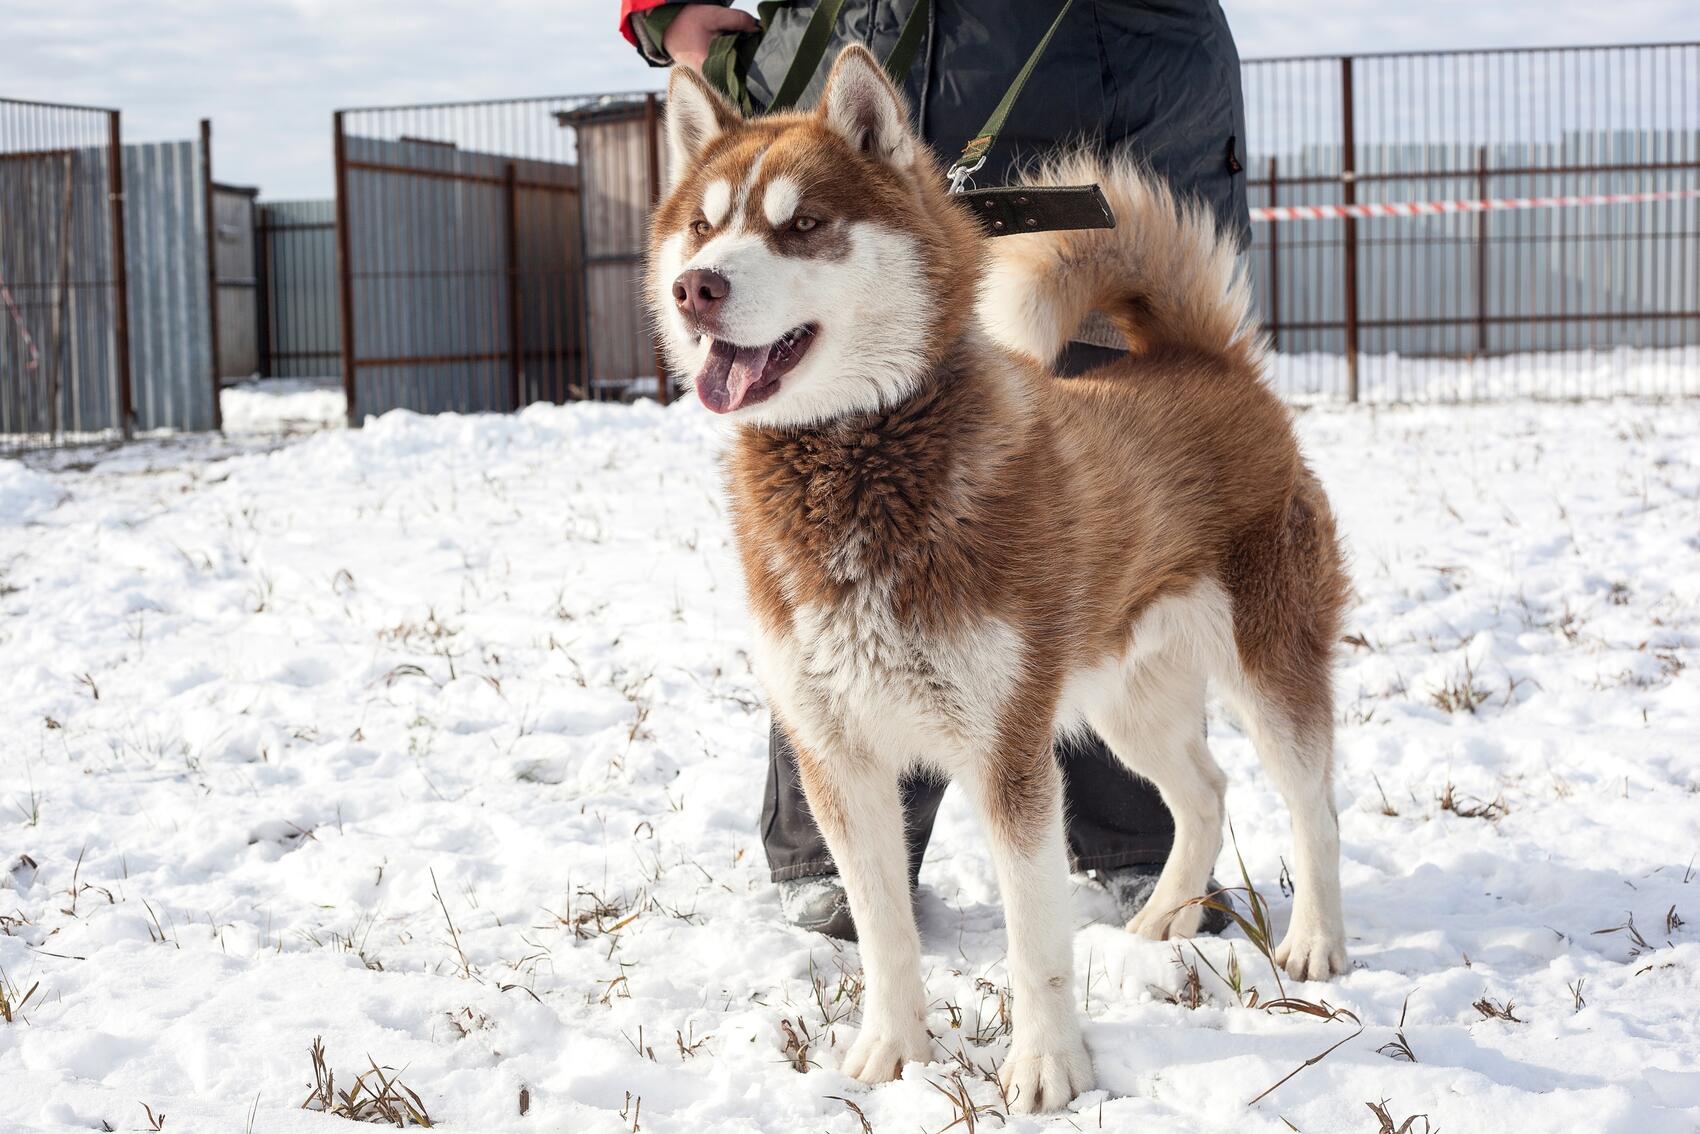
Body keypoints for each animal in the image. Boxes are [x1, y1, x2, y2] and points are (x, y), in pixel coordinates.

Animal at [649, 48, 1353, 1115]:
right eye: (703, 223)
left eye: (801, 225)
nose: (697, 287)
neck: (857, 463)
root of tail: (1202, 361)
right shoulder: (836, 757)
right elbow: (885, 932)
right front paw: (891, 1054)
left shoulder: (1007, 754)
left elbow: (1035, 939)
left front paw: (1048, 1069)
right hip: (1125, 705)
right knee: (1205, 790)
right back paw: (1164, 918)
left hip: (1269, 671)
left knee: (1312, 805)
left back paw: (1315, 942)